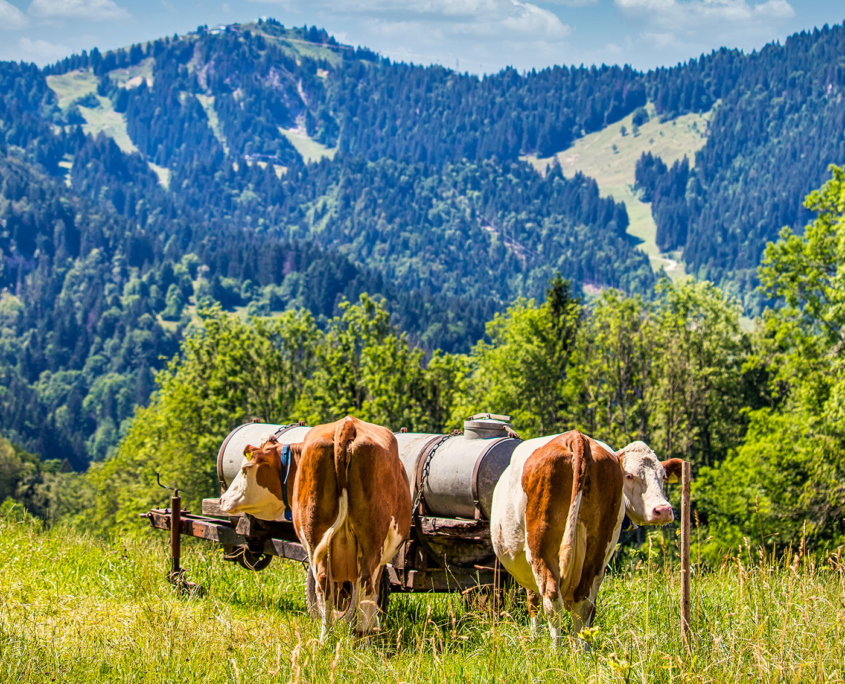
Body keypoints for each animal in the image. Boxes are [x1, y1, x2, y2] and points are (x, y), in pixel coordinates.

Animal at [218, 420, 412, 640]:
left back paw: (328, 638)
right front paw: (375, 627)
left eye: (244, 469)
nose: (222, 499)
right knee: (363, 582)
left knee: (326, 582)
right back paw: (360, 637)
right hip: (369, 541)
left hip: (315, 535)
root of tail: (347, 424)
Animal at [492, 430, 684, 644]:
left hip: (541, 547)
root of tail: (576, 437)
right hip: (596, 549)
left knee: (552, 600)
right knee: (583, 604)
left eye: (663, 476)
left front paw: (535, 638)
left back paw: (555, 650)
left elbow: (533, 602)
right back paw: (582, 648)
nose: (663, 510)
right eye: (629, 475)